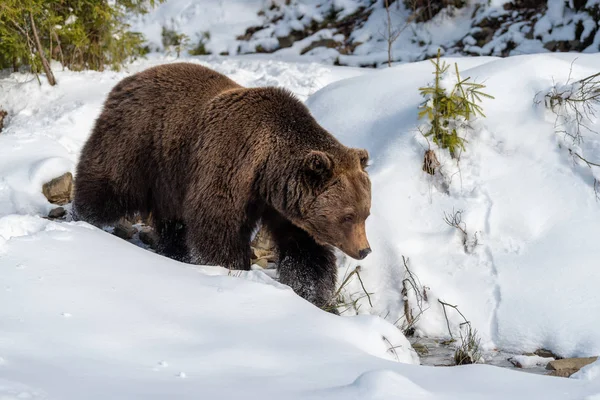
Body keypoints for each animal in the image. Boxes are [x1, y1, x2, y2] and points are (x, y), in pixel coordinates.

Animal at [72, 63, 368, 310]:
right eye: (348, 216)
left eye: (365, 213)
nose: (365, 250)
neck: (268, 169)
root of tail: (128, 80)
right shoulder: (230, 164)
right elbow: (217, 226)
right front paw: (230, 268)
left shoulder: (285, 202)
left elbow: (305, 249)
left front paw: (313, 293)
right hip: (137, 141)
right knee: (109, 184)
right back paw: (84, 218)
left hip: (170, 176)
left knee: (174, 222)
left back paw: (174, 252)